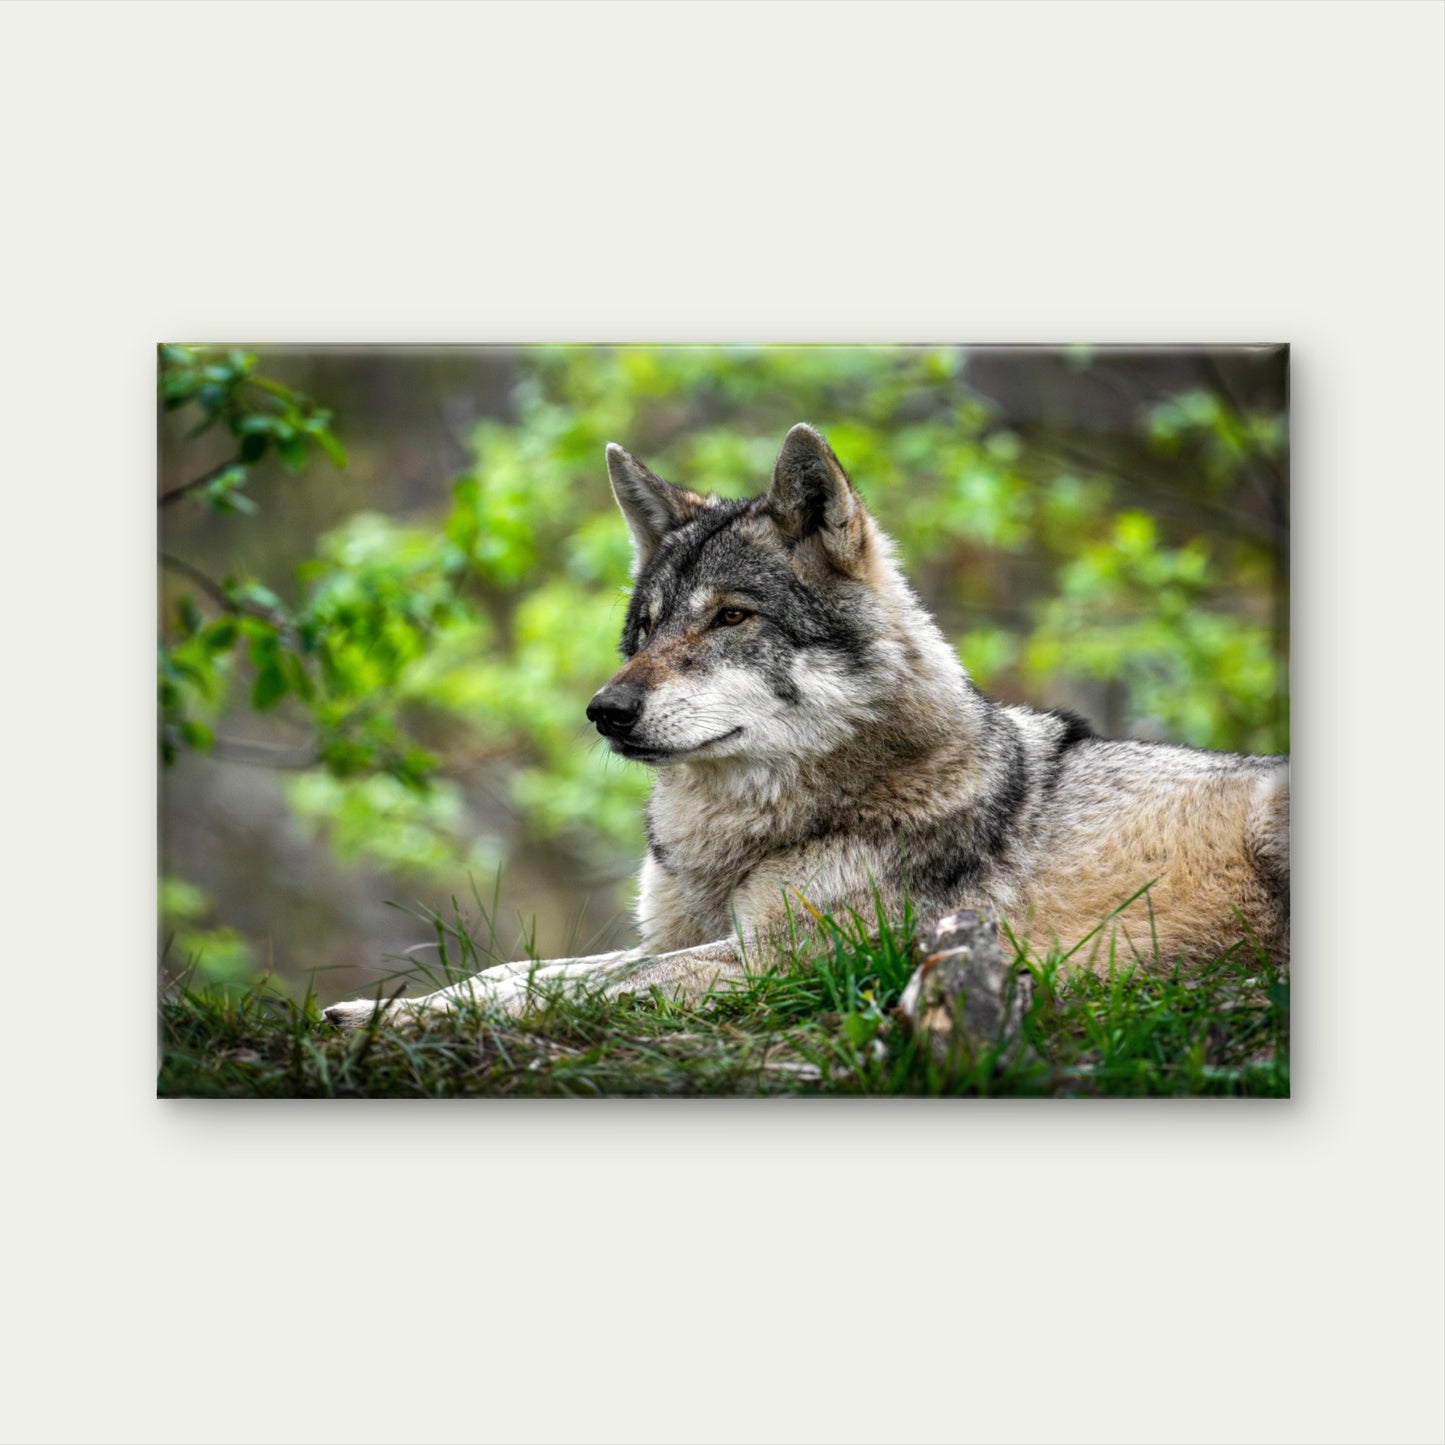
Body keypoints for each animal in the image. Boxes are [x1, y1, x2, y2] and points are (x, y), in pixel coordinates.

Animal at [324, 424, 1289, 1027]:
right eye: (646, 628)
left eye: (730, 617)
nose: (605, 711)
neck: (746, 841)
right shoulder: (694, 936)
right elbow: (516, 970)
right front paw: (378, 1007)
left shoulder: (791, 962)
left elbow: (571, 988)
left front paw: (396, 1017)